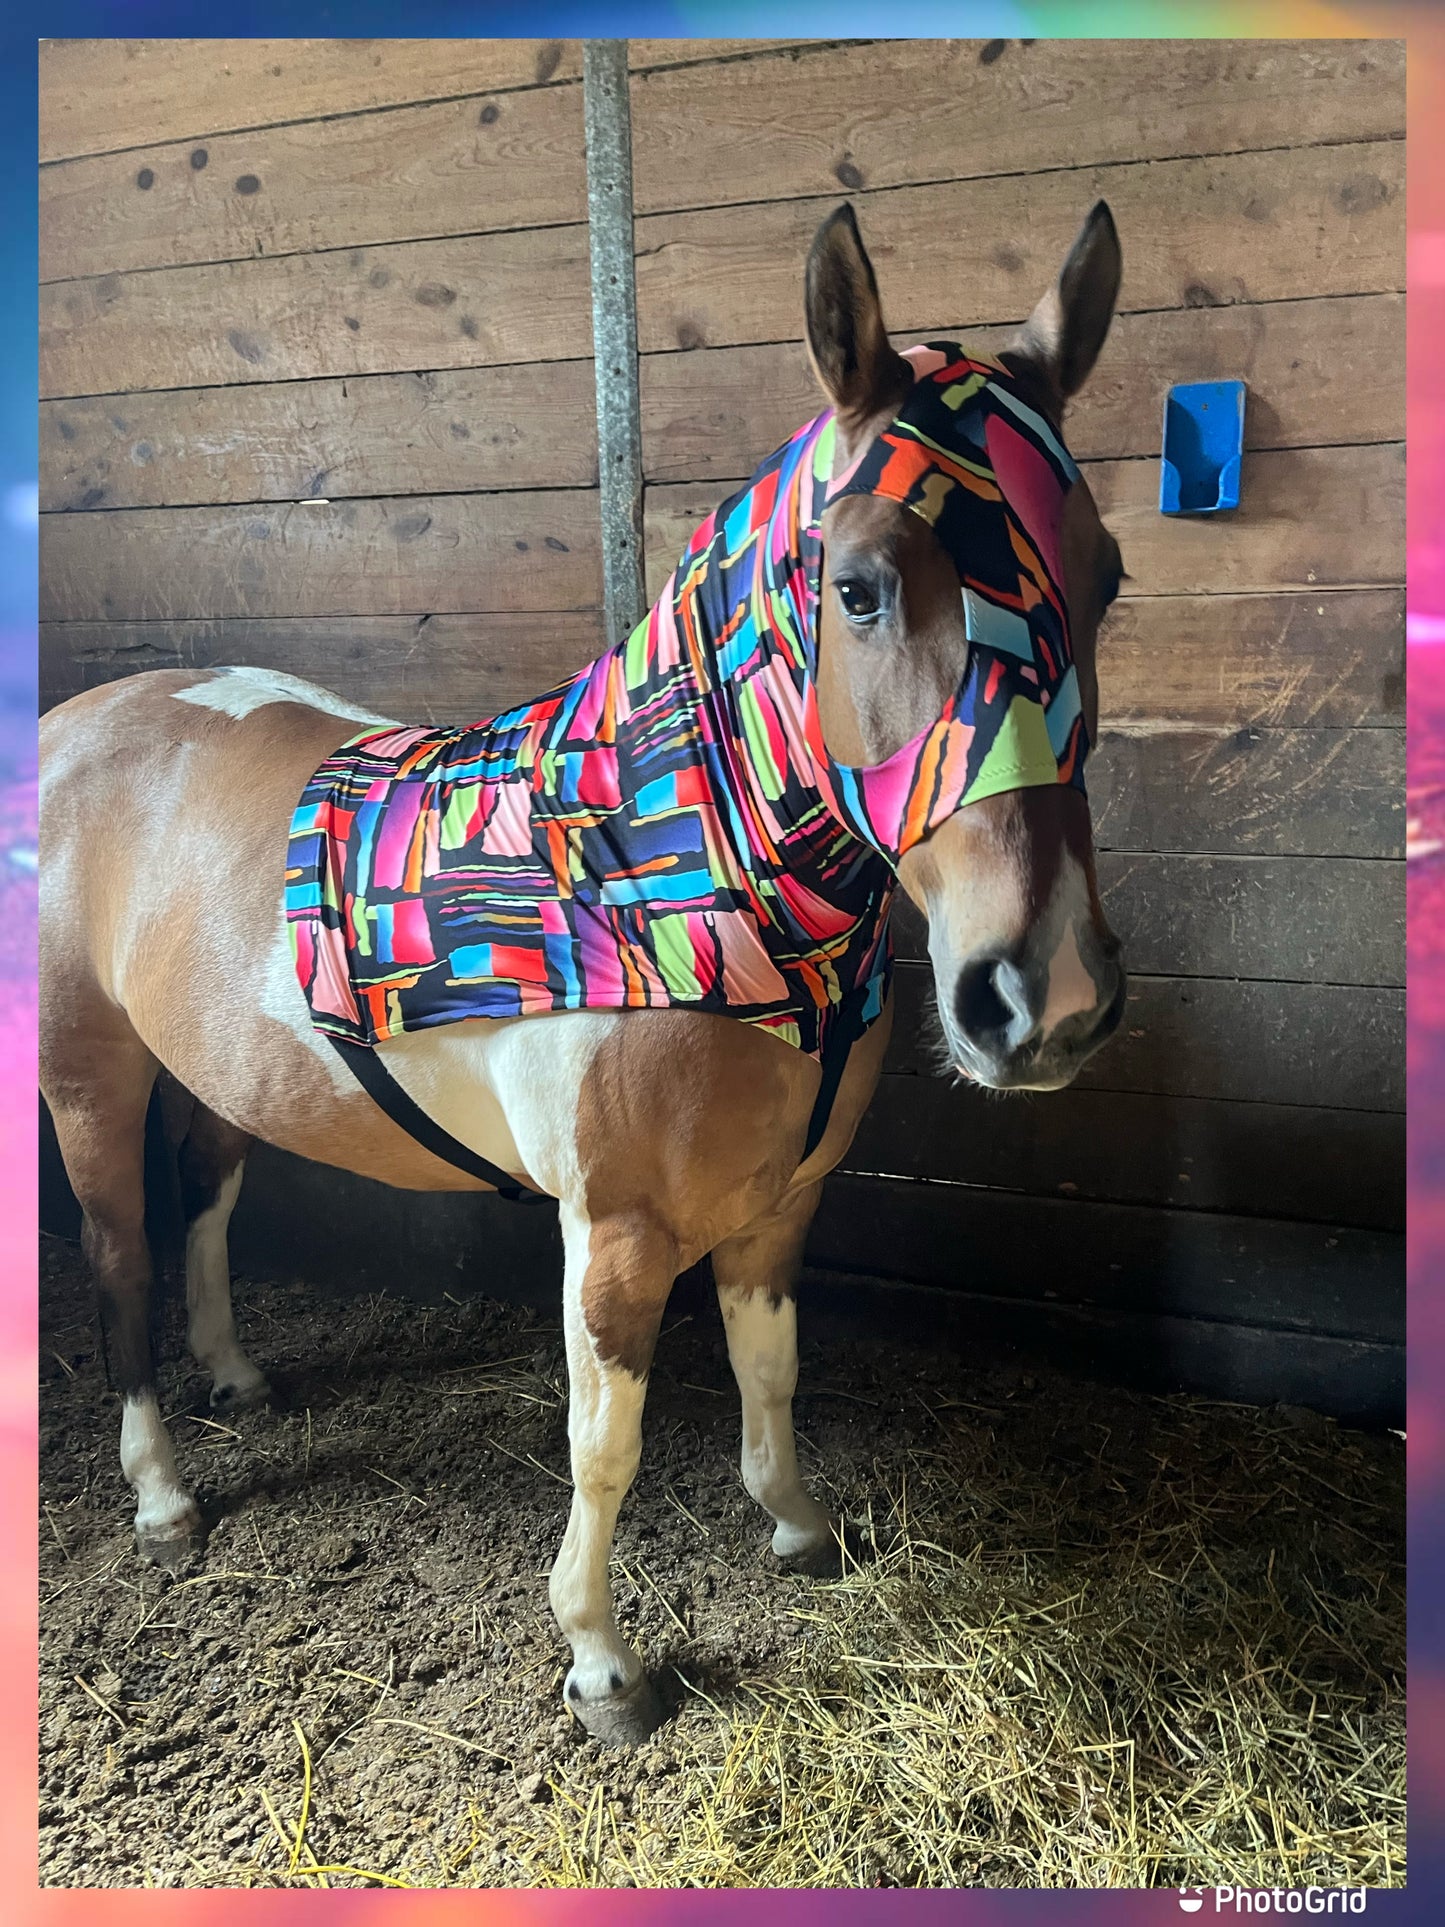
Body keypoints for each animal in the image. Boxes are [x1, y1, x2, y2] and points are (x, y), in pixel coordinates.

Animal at [40, 200, 1127, 1746]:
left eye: (1103, 579)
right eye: (856, 587)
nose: (1046, 998)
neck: (665, 878)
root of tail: (76, 724)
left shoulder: (778, 1204)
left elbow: (772, 1366)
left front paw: (798, 1527)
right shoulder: (610, 1239)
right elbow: (602, 1445)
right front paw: (603, 1661)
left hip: (210, 1068)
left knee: (206, 1197)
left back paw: (237, 1377)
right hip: (87, 1076)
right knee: (121, 1252)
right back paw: (161, 1491)